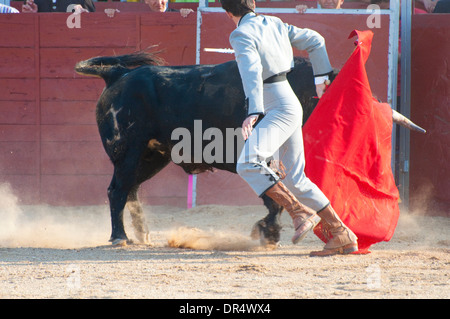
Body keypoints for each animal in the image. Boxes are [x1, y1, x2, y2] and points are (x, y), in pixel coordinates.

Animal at [74, 52, 422, 248]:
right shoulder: (263, 156)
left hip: (152, 157)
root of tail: (117, 74)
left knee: (130, 191)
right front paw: (270, 232)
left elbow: (276, 195)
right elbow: (274, 196)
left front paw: (269, 232)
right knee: (117, 191)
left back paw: (142, 236)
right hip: (129, 152)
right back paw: (120, 238)